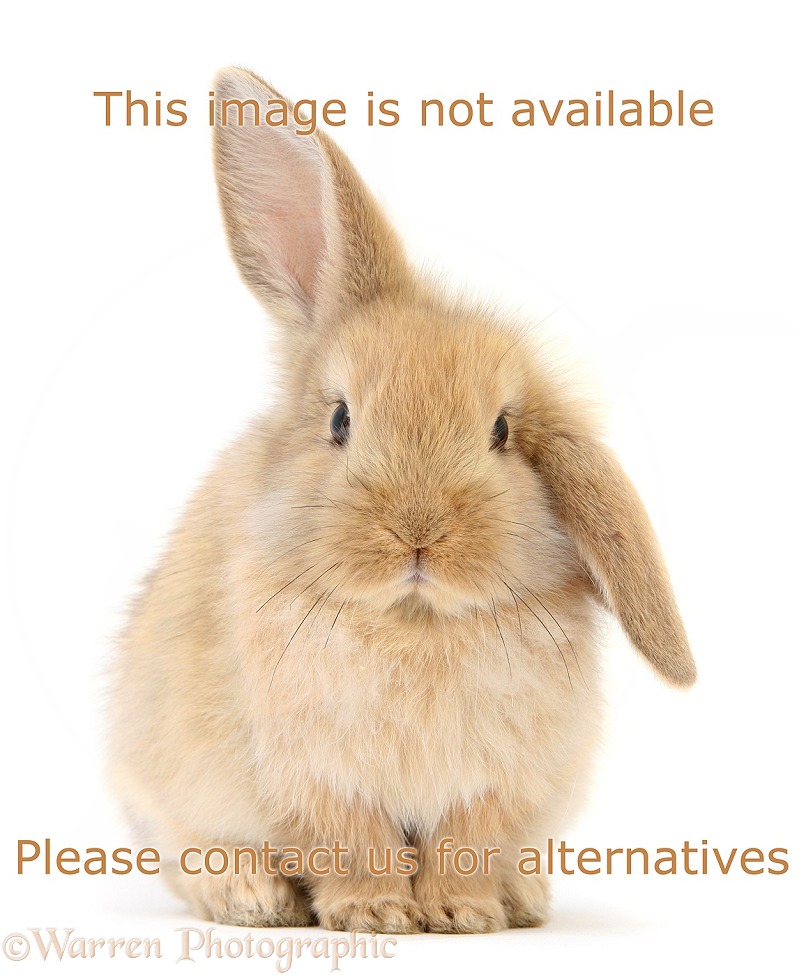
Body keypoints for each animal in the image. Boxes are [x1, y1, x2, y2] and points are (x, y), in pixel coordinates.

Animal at [107, 65, 696, 936]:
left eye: (502, 430)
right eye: (340, 420)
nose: (418, 533)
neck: (414, 620)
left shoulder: (491, 786)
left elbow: (464, 846)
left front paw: (461, 915)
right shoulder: (319, 778)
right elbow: (354, 844)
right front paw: (377, 915)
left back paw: (522, 901)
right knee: (190, 852)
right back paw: (250, 897)